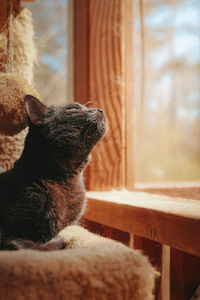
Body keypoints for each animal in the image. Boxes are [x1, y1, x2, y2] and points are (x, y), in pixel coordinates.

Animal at [0, 95, 107, 250]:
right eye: (73, 108)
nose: (100, 109)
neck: (66, 181)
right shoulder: (7, 232)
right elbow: (24, 244)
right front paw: (57, 241)